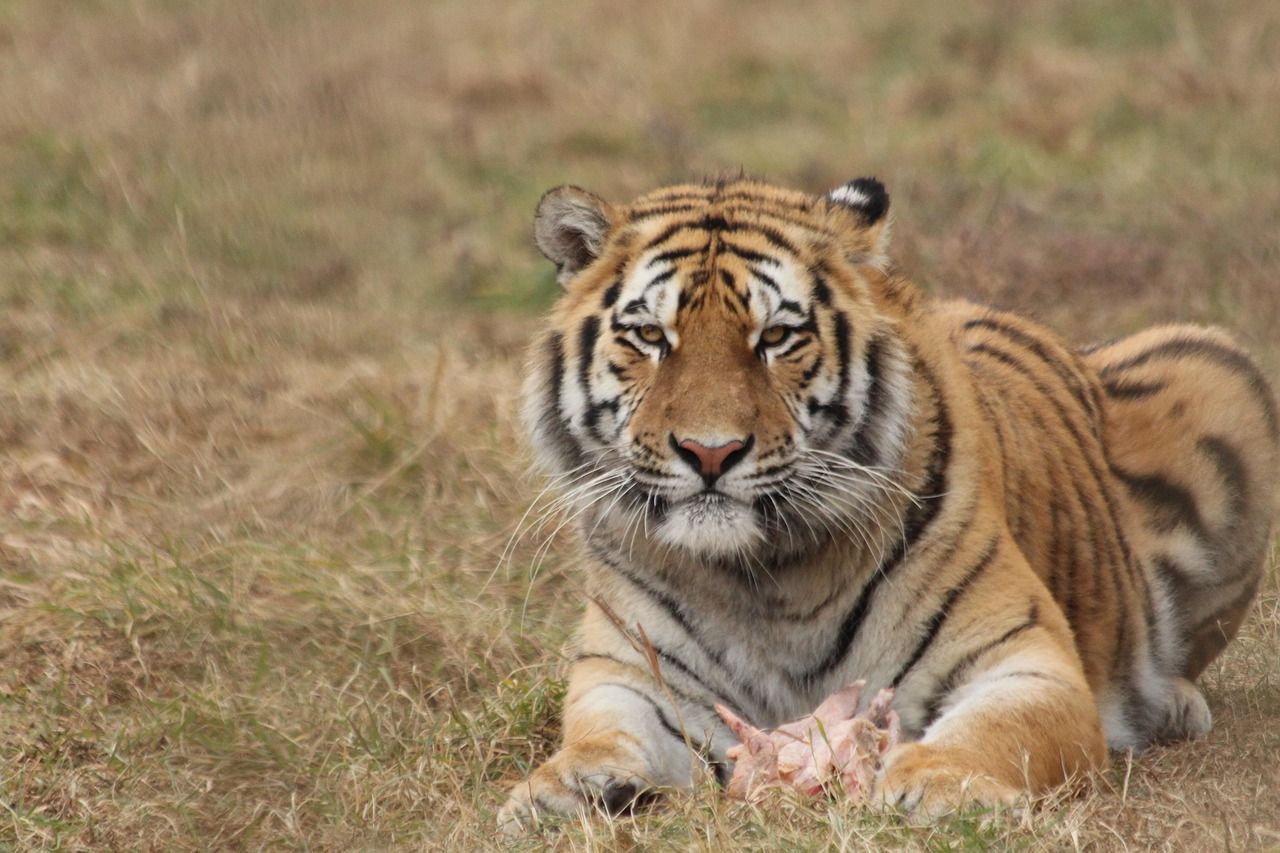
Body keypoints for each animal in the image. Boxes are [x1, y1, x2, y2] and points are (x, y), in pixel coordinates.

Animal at [497, 175, 1278, 829]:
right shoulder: (625, 673)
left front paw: (938, 781)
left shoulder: (1026, 660)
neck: (760, 575)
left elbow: (997, 731)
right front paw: (557, 789)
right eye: (650, 336)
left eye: (776, 336)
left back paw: (1172, 704)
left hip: (1223, 371)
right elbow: (604, 735)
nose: (710, 452)